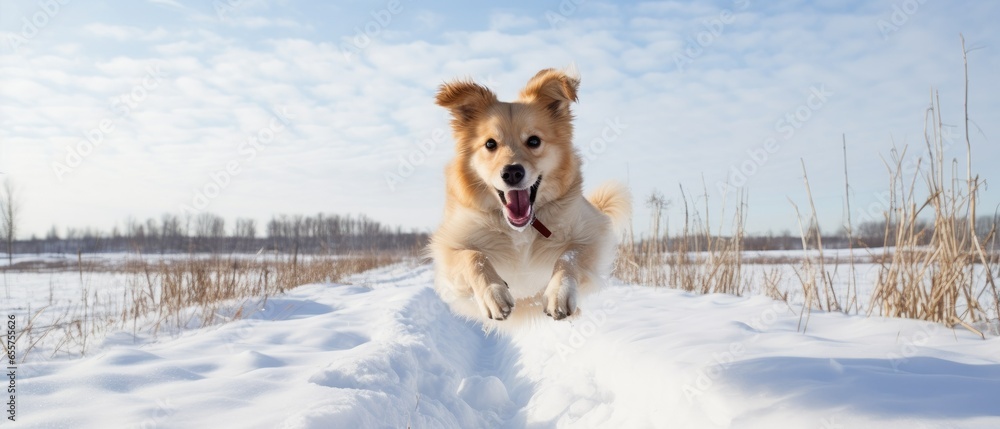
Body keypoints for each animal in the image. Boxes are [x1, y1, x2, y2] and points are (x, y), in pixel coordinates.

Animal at [428, 67, 628, 328]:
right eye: (490, 144)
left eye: (534, 141)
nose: (512, 172)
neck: (520, 230)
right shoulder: (448, 247)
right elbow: (473, 256)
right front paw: (493, 293)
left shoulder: (594, 234)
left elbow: (569, 256)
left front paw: (558, 292)